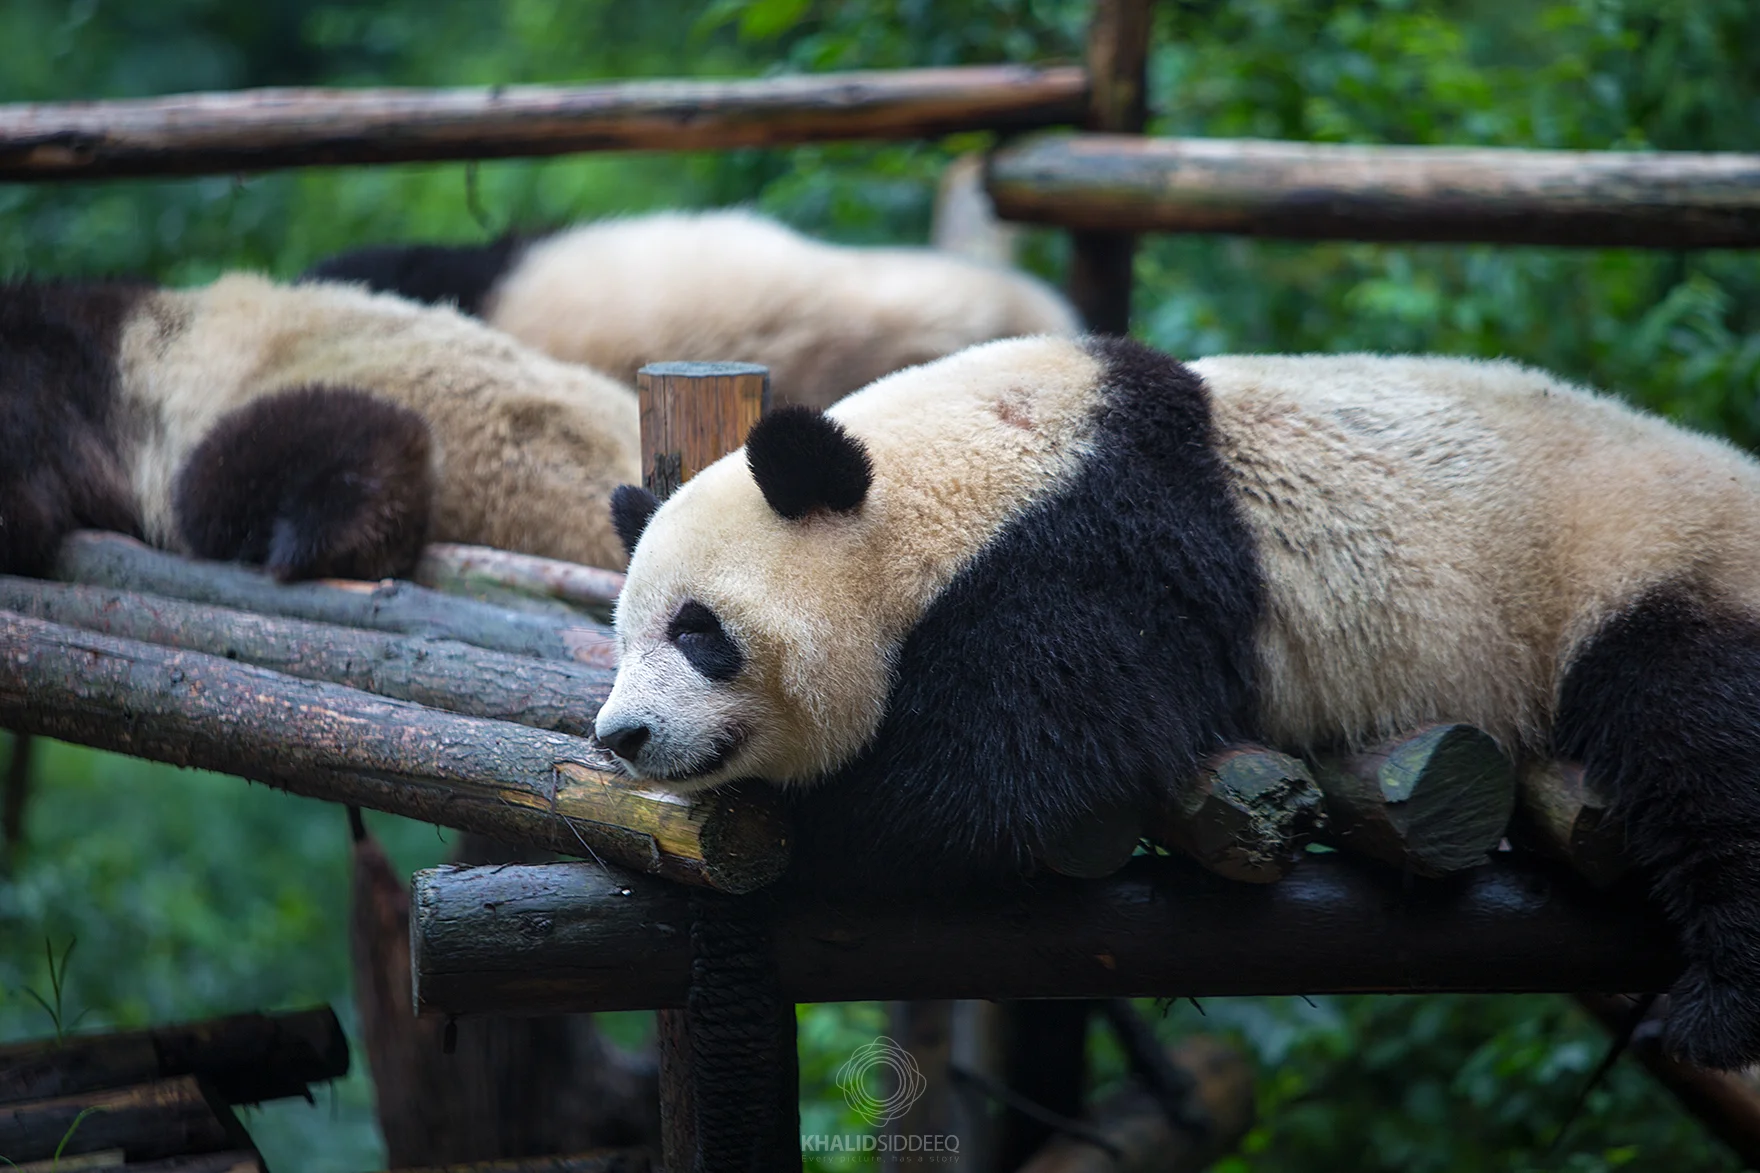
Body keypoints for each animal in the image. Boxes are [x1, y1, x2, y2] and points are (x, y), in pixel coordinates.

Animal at [593, 333, 1760, 1070]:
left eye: (698, 631)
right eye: (623, 636)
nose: (623, 734)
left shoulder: (1094, 554)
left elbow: (1000, 776)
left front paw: (806, 831)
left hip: (1647, 578)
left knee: (1702, 744)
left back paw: (1713, 1010)